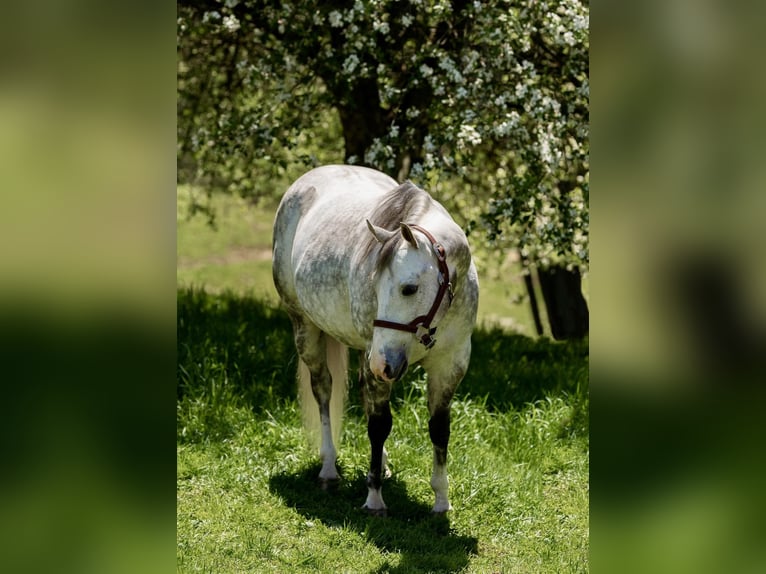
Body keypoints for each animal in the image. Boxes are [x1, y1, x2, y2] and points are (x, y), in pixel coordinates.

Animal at [274, 164, 480, 516]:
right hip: (307, 329)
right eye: (374, 283)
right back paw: (328, 468)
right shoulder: (379, 360)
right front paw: (374, 499)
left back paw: (380, 464)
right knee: (324, 390)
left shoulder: (449, 364)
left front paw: (441, 502)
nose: (383, 364)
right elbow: (379, 425)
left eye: (409, 288)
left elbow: (439, 428)